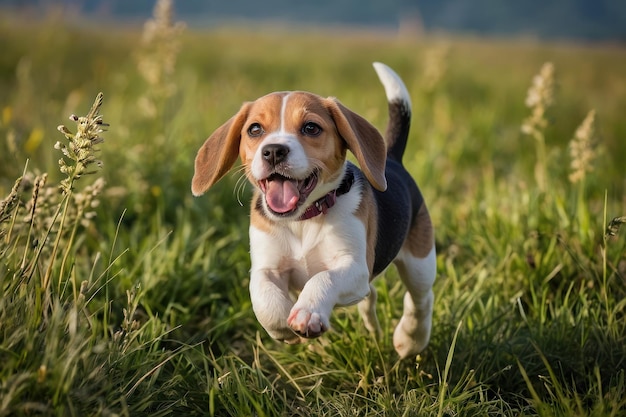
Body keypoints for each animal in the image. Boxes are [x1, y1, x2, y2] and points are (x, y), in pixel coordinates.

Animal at [190, 61, 434, 358]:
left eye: (311, 128)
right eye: (255, 130)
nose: (273, 151)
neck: (302, 220)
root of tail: (394, 160)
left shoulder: (353, 267)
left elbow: (323, 278)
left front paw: (308, 311)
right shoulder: (266, 266)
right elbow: (264, 296)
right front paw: (282, 324)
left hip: (420, 263)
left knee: (421, 300)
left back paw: (410, 339)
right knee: (371, 295)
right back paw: (374, 330)